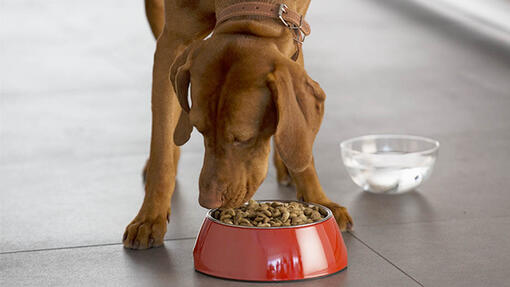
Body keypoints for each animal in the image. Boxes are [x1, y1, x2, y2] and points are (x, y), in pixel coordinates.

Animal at [125, 0, 352, 250]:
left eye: (243, 138)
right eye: (200, 130)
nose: (207, 201)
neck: (252, 17)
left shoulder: (293, 32)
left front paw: (318, 198)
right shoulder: (173, 41)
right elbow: (162, 145)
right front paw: (149, 218)